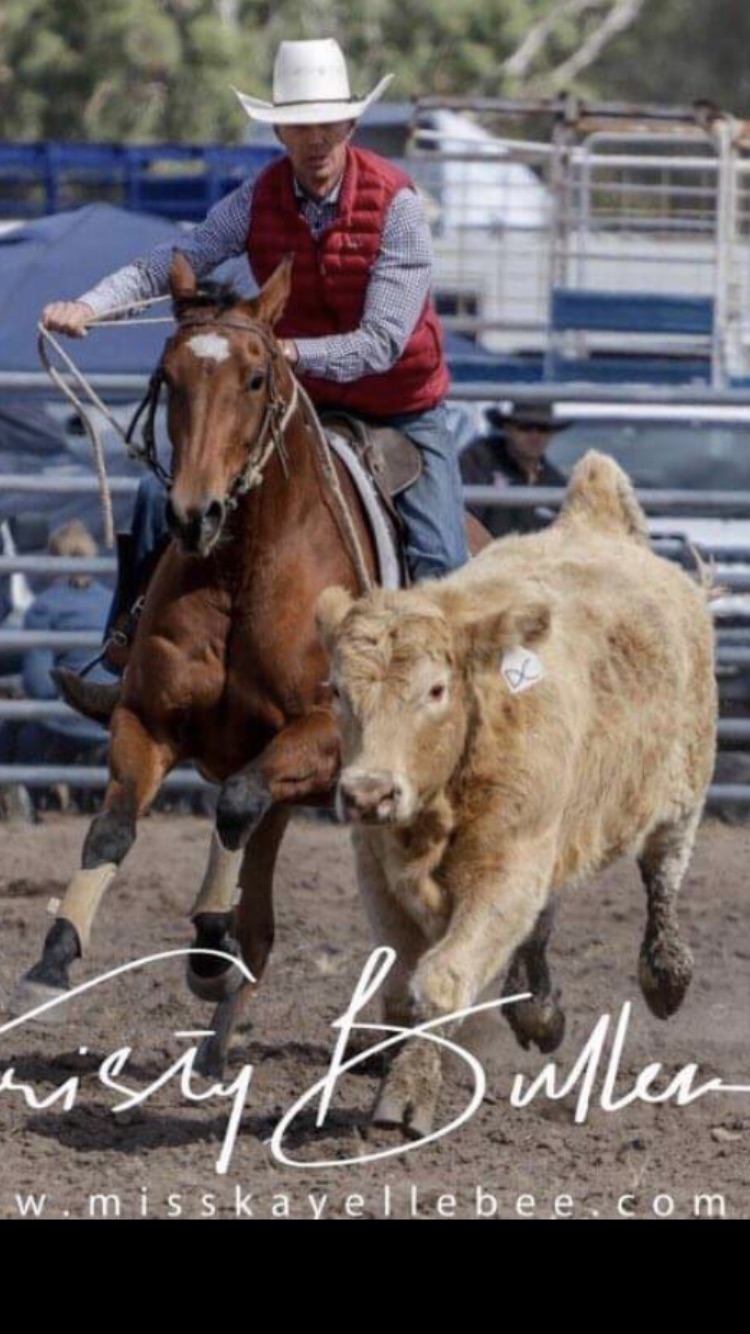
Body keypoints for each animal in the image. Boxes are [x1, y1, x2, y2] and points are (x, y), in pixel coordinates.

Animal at [12, 250, 488, 1076]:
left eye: (258, 378)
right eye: (168, 377)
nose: (193, 513)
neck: (245, 568)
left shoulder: (321, 735)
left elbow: (232, 806)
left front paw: (207, 940)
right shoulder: (148, 721)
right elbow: (115, 828)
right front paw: (55, 960)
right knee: (266, 914)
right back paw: (220, 1046)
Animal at [315, 451, 718, 1137]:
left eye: (435, 690)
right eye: (339, 690)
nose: (368, 794)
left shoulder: (507, 866)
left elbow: (442, 980)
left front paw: (408, 1097)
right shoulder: (376, 869)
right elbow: (400, 982)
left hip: (682, 789)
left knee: (663, 873)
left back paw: (665, 975)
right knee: (545, 918)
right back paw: (537, 1009)